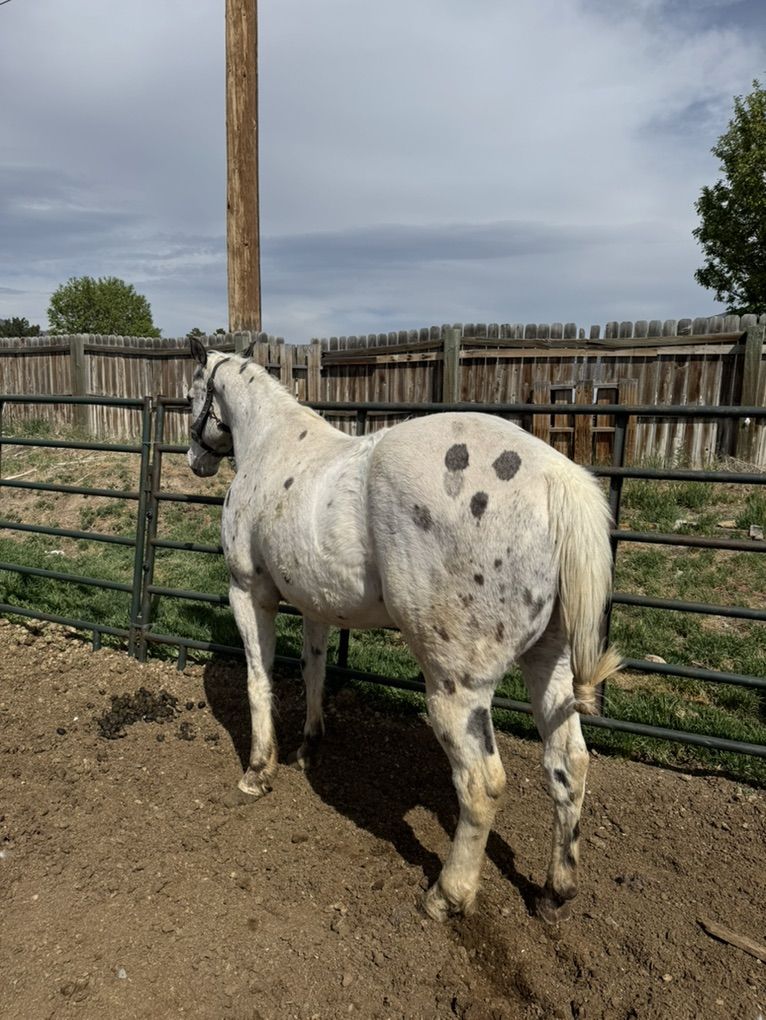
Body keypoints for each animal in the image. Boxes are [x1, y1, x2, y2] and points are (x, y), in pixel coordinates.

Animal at [185, 338, 620, 923]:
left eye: (193, 393)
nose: (196, 460)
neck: (272, 447)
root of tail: (556, 479)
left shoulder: (249, 593)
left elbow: (260, 682)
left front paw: (259, 770)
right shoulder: (317, 605)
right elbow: (314, 672)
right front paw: (309, 745)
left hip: (456, 690)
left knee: (481, 785)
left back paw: (446, 896)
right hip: (548, 661)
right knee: (568, 763)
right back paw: (555, 890)